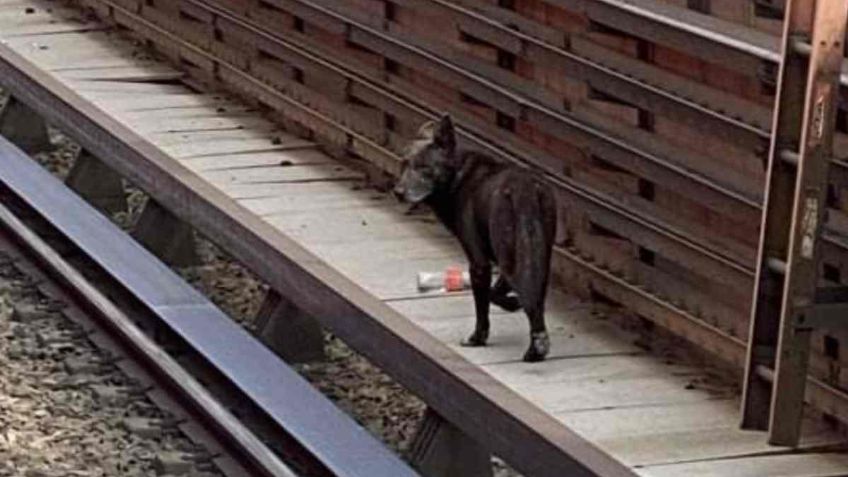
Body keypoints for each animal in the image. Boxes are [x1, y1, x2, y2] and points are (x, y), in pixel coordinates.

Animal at [396, 115, 560, 360]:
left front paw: (477, 338)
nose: (397, 192)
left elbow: (483, 303)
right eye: (403, 163)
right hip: (536, 255)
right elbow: (495, 292)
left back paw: (534, 350)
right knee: (535, 298)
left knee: (528, 300)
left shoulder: (479, 262)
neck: (456, 176)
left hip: (510, 255)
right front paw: (512, 303)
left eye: (423, 167)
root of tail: (525, 190)